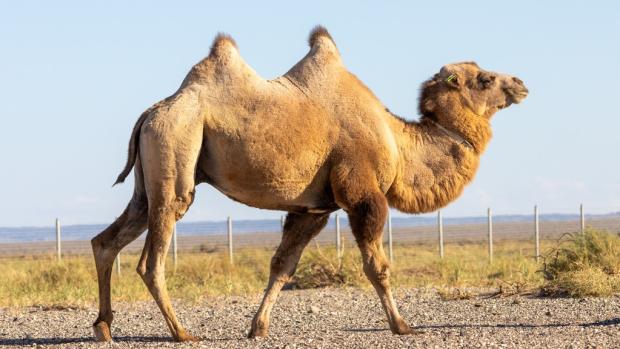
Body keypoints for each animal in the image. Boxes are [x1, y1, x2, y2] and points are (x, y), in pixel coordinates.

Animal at [91, 26, 528, 340]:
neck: (397, 140)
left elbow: (282, 265)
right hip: (176, 149)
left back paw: (103, 327)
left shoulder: (313, 208)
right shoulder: (363, 196)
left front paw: (257, 328)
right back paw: (181, 332)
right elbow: (377, 266)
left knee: (106, 240)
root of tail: (152, 111)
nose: (521, 83)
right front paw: (402, 325)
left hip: (149, 176)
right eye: (485, 78)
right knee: (151, 259)